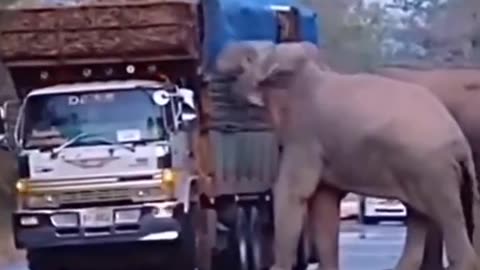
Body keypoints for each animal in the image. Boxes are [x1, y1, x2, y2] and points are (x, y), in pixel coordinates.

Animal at [217, 40, 480, 270]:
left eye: (250, 58)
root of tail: (460, 144)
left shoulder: (305, 135)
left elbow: (291, 191)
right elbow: (324, 204)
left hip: (431, 171)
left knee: (446, 216)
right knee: (420, 217)